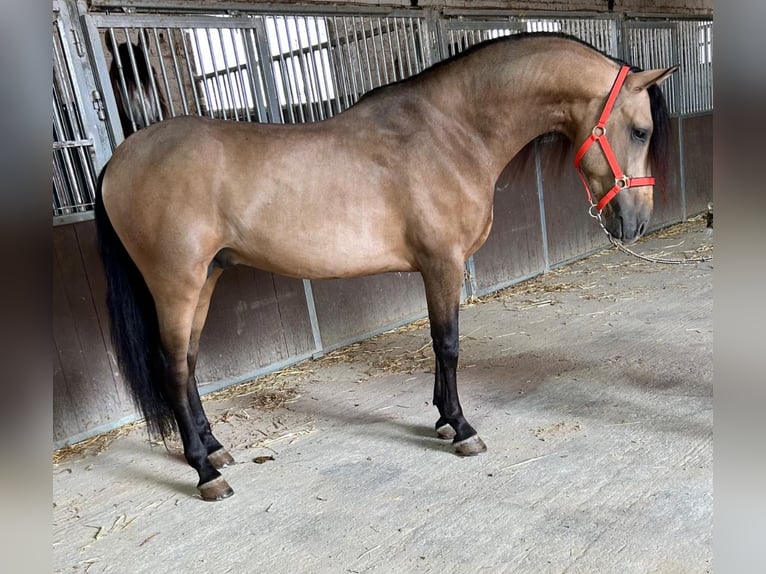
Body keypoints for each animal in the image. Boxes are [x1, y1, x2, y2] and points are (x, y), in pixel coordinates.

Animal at [96, 31, 680, 502]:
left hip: (207, 279)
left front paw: (443, 421)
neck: (451, 133)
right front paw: (462, 430)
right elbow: (448, 344)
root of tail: (120, 157)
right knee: (173, 371)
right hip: (176, 285)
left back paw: (215, 448)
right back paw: (205, 473)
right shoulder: (442, 263)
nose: (637, 221)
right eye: (640, 131)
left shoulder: (434, 267)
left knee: (189, 365)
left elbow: (439, 344)